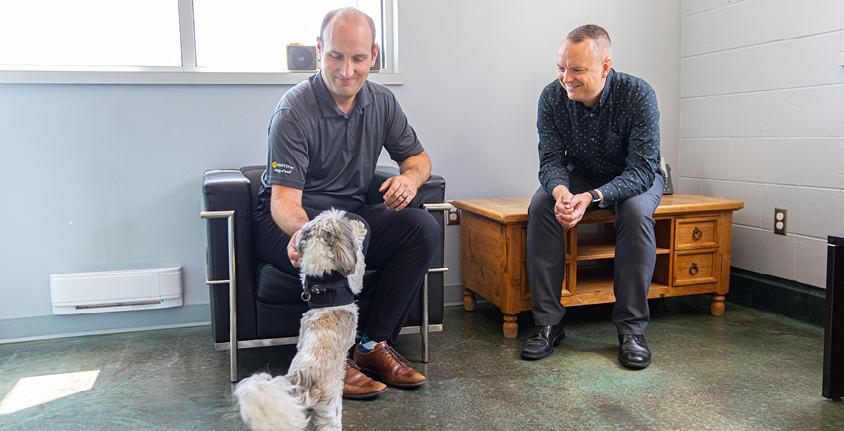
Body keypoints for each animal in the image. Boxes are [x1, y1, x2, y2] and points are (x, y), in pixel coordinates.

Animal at [234, 210, 366, 431]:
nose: (351, 218)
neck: (325, 282)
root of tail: (302, 378)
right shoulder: (353, 278)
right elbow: (359, 265)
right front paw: (358, 229)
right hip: (329, 407)